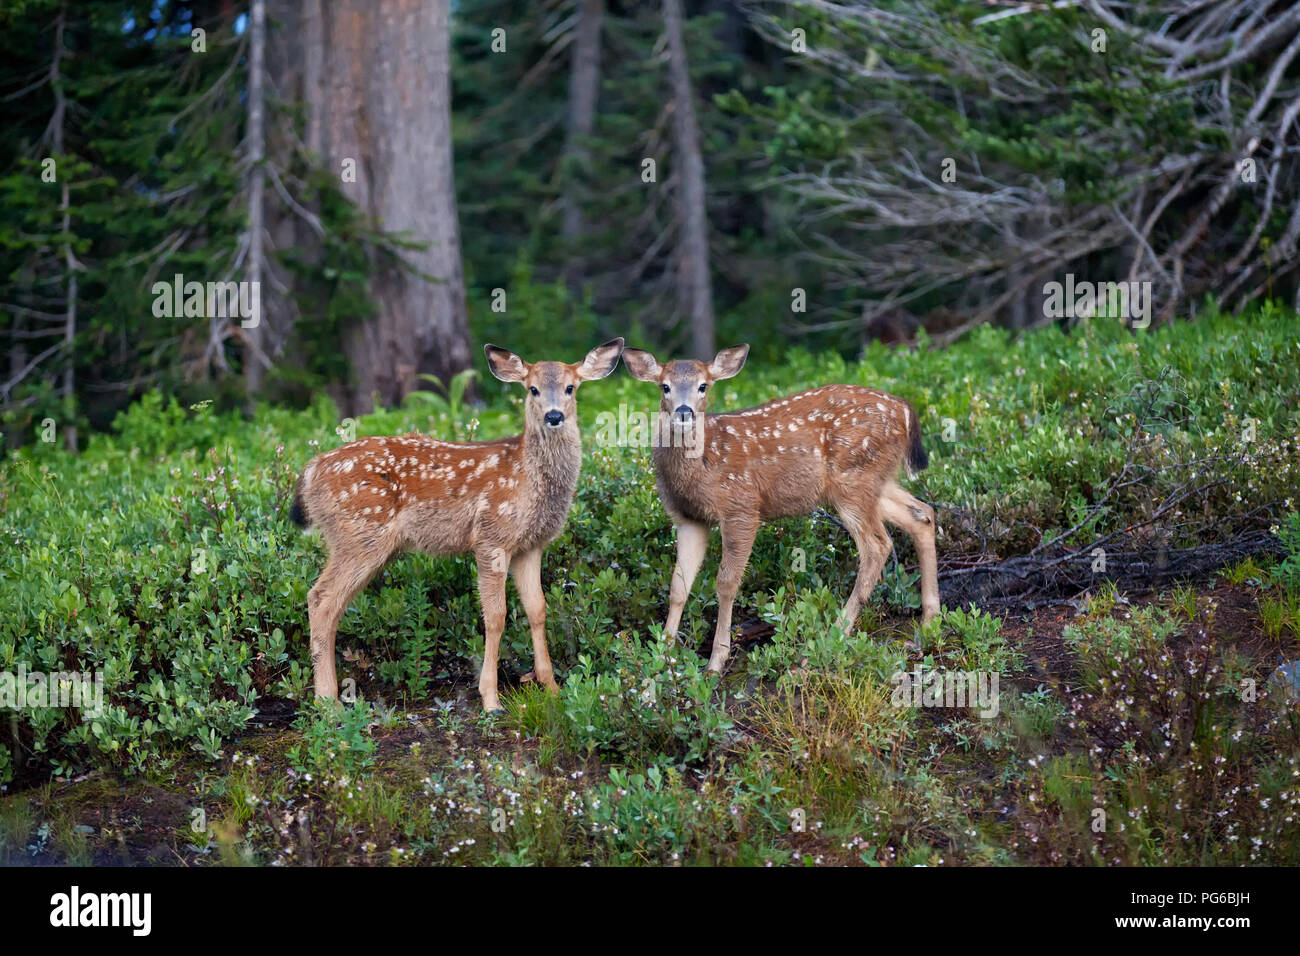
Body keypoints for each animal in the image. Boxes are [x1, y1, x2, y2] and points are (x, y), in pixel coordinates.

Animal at [290, 338, 624, 713]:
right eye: (533, 389)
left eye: (570, 387)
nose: (554, 416)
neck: (526, 478)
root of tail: (311, 471)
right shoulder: (491, 536)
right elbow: (496, 615)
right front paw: (491, 699)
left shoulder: (531, 545)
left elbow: (537, 609)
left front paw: (551, 689)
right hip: (359, 533)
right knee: (322, 599)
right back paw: (327, 702)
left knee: (327, 602)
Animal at [621, 344, 940, 674]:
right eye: (665, 386)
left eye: (703, 385)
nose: (685, 412)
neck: (701, 466)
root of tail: (905, 409)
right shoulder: (688, 519)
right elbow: (677, 586)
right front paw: (662, 655)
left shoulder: (741, 506)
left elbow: (726, 582)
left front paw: (716, 661)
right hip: (873, 481)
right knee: (922, 514)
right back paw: (929, 623)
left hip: (853, 478)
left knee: (877, 545)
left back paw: (828, 643)